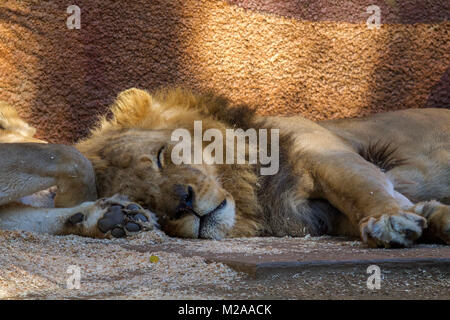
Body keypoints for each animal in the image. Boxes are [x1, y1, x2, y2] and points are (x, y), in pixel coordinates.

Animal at [0, 89, 448, 249]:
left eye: (160, 156)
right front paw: (430, 217)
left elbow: (365, 187)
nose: (184, 203)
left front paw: (392, 220)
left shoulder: (324, 152)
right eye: (146, 202)